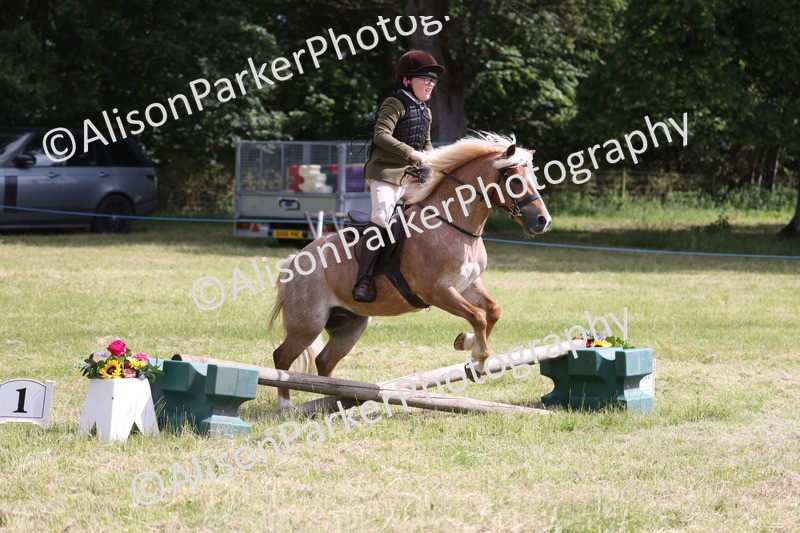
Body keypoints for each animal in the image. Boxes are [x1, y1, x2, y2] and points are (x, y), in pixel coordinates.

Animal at [268, 133, 552, 409]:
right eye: (516, 181)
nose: (543, 222)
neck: (453, 223)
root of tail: (295, 259)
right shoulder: (438, 292)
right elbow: (478, 317)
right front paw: (478, 361)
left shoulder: (467, 285)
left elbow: (492, 311)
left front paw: (467, 346)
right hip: (308, 323)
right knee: (282, 356)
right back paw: (285, 406)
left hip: (350, 326)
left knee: (325, 361)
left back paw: (333, 401)